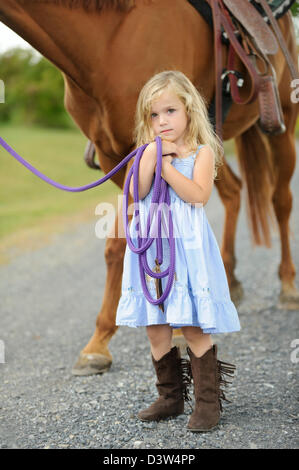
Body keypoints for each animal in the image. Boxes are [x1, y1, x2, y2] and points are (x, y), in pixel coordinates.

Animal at [0, 0, 298, 374]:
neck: (107, 40)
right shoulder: (116, 158)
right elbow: (122, 244)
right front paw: (98, 343)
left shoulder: (142, 150)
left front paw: (176, 327)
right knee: (233, 192)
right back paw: (230, 280)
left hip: (282, 125)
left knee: (281, 201)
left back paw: (287, 285)